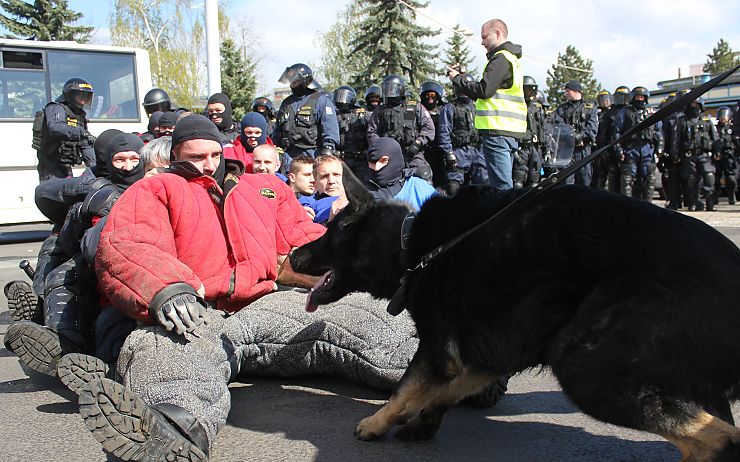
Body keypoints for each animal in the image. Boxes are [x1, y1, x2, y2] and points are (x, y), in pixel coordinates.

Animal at [292, 167, 740, 462]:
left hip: (585, 368)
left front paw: (376, 421)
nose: (293, 254)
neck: (410, 247)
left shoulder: (438, 349)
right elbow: (449, 389)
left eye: (331, 232)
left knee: (721, 438)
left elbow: (405, 388)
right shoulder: (489, 354)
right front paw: (425, 420)